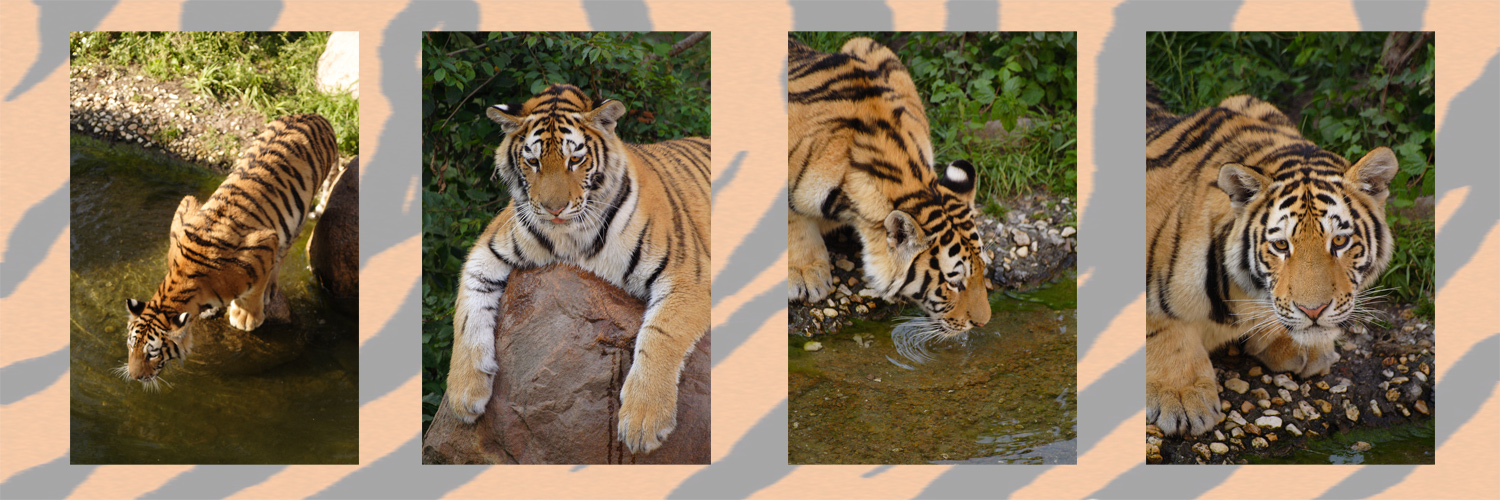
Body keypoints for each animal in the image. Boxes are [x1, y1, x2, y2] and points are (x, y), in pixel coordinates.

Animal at [119, 114, 340, 387]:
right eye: (131, 346)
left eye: (152, 353)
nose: (135, 376)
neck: (182, 279)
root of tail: (317, 117)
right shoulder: (185, 208)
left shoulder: (264, 242)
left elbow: (252, 293)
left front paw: (245, 318)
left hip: (297, 217)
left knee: (282, 253)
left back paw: (270, 288)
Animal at [441, 83, 711, 453]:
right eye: (533, 161)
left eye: (576, 159)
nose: (554, 208)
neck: (570, 236)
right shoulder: (487, 249)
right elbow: (467, 315)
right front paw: (464, 394)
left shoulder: (688, 273)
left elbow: (660, 334)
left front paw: (644, 421)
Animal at [1146, 83, 1392, 435]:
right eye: (1280, 245)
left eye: (1340, 241)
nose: (1314, 311)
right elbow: (1162, 325)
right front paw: (1182, 398)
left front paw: (1300, 347)